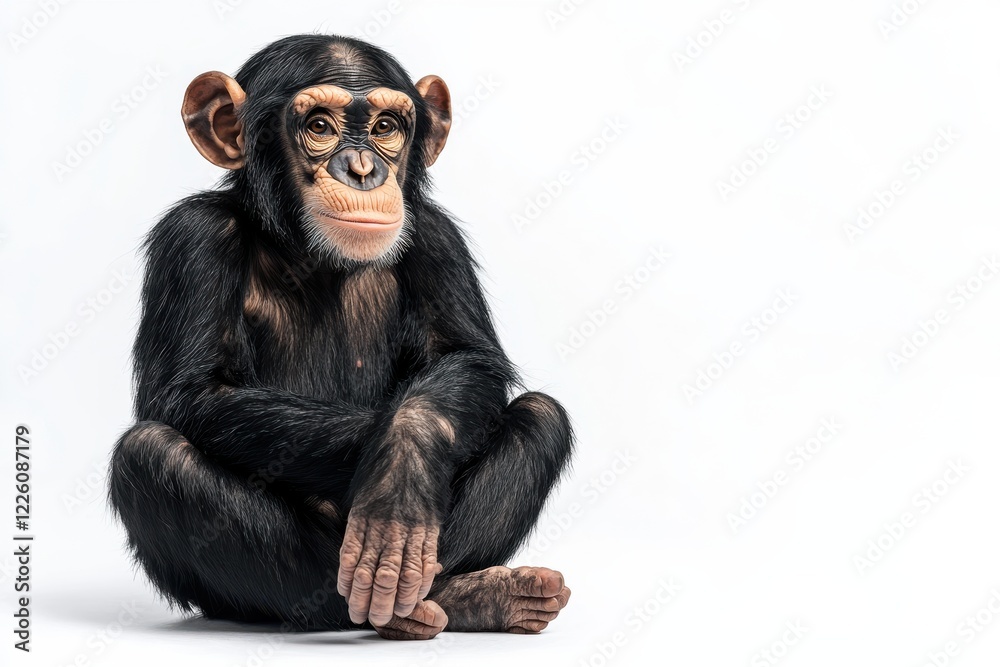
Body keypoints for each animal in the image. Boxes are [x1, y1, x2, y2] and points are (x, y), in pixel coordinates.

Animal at [108, 34, 573, 640]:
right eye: (320, 126)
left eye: (385, 127)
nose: (363, 168)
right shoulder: (191, 237)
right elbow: (192, 391)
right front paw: (394, 475)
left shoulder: (437, 237)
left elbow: (469, 359)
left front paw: (405, 462)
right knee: (151, 454)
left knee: (541, 416)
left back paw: (472, 594)